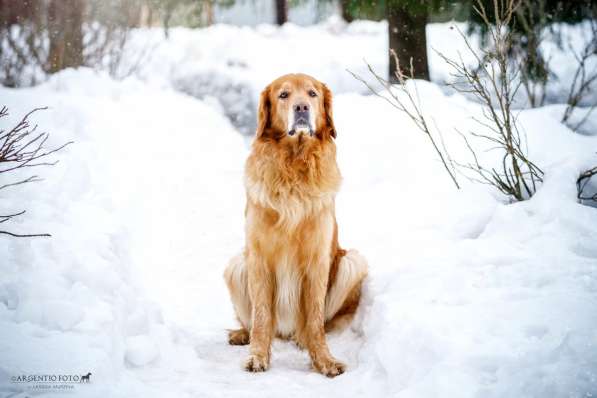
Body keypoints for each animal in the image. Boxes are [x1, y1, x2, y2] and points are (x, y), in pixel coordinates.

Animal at [222, 74, 366, 376]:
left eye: (312, 94)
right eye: (284, 95)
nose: (301, 108)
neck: (294, 165)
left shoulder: (317, 259)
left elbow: (315, 318)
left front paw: (324, 360)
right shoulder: (258, 258)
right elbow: (262, 317)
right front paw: (257, 356)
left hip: (353, 262)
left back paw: (302, 339)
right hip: (236, 265)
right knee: (254, 322)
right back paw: (242, 334)